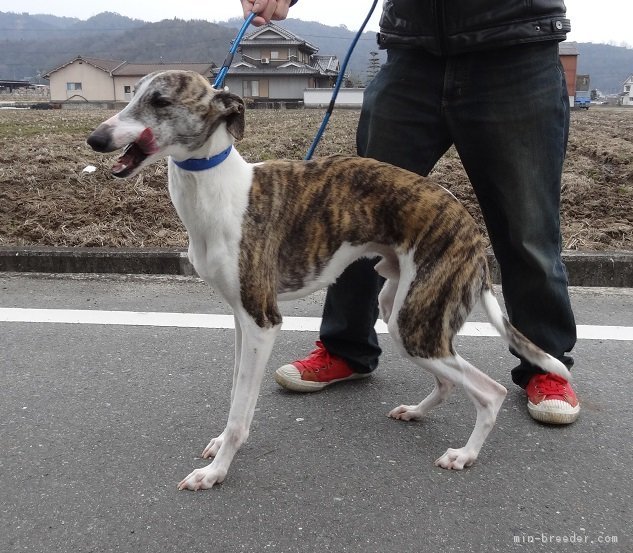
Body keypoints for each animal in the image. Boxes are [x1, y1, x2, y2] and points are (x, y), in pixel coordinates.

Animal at [86, 70, 572, 492]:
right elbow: (235, 396)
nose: (96, 140)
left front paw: (216, 472)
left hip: (416, 321)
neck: (221, 188)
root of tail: (470, 227)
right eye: (132, 94)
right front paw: (220, 446)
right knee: (451, 378)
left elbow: (242, 411)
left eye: (161, 101)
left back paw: (464, 454)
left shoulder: (262, 320)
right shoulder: (240, 318)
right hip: (400, 311)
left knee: (490, 392)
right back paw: (416, 412)